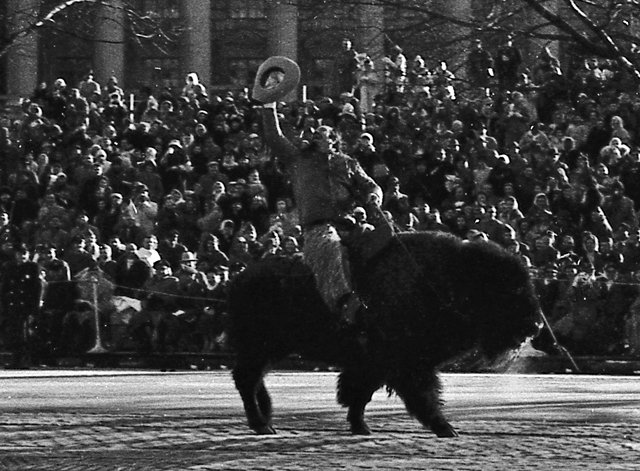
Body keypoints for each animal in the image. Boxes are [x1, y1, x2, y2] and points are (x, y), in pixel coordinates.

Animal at [227, 230, 542, 436]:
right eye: (508, 289)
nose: (536, 325)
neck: (448, 278)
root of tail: (239, 278)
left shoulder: (378, 366)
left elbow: (361, 394)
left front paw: (360, 427)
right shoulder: (403, 364)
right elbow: (420, 395)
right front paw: (445, 428)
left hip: (268, 348)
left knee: (254, 380)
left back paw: (266, 419)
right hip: (257, 347)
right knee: (247, 380)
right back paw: (262, 425)